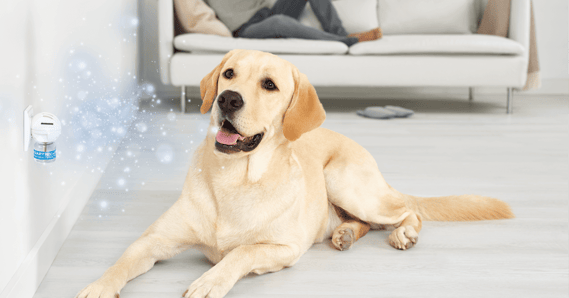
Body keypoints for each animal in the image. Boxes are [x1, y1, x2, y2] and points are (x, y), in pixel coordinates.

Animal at [76, 50, 516, 296]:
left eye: (269, 85)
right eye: (229, 74)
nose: (227, 99)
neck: (234, 179)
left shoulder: (283, 249)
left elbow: (242, 252)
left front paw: (210, 280)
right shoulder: (154, 241)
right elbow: (120, 263)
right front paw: (97, 287)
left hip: (344, 181)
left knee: (406, 211)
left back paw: (403, 233)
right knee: (365, 222)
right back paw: (343, 234)